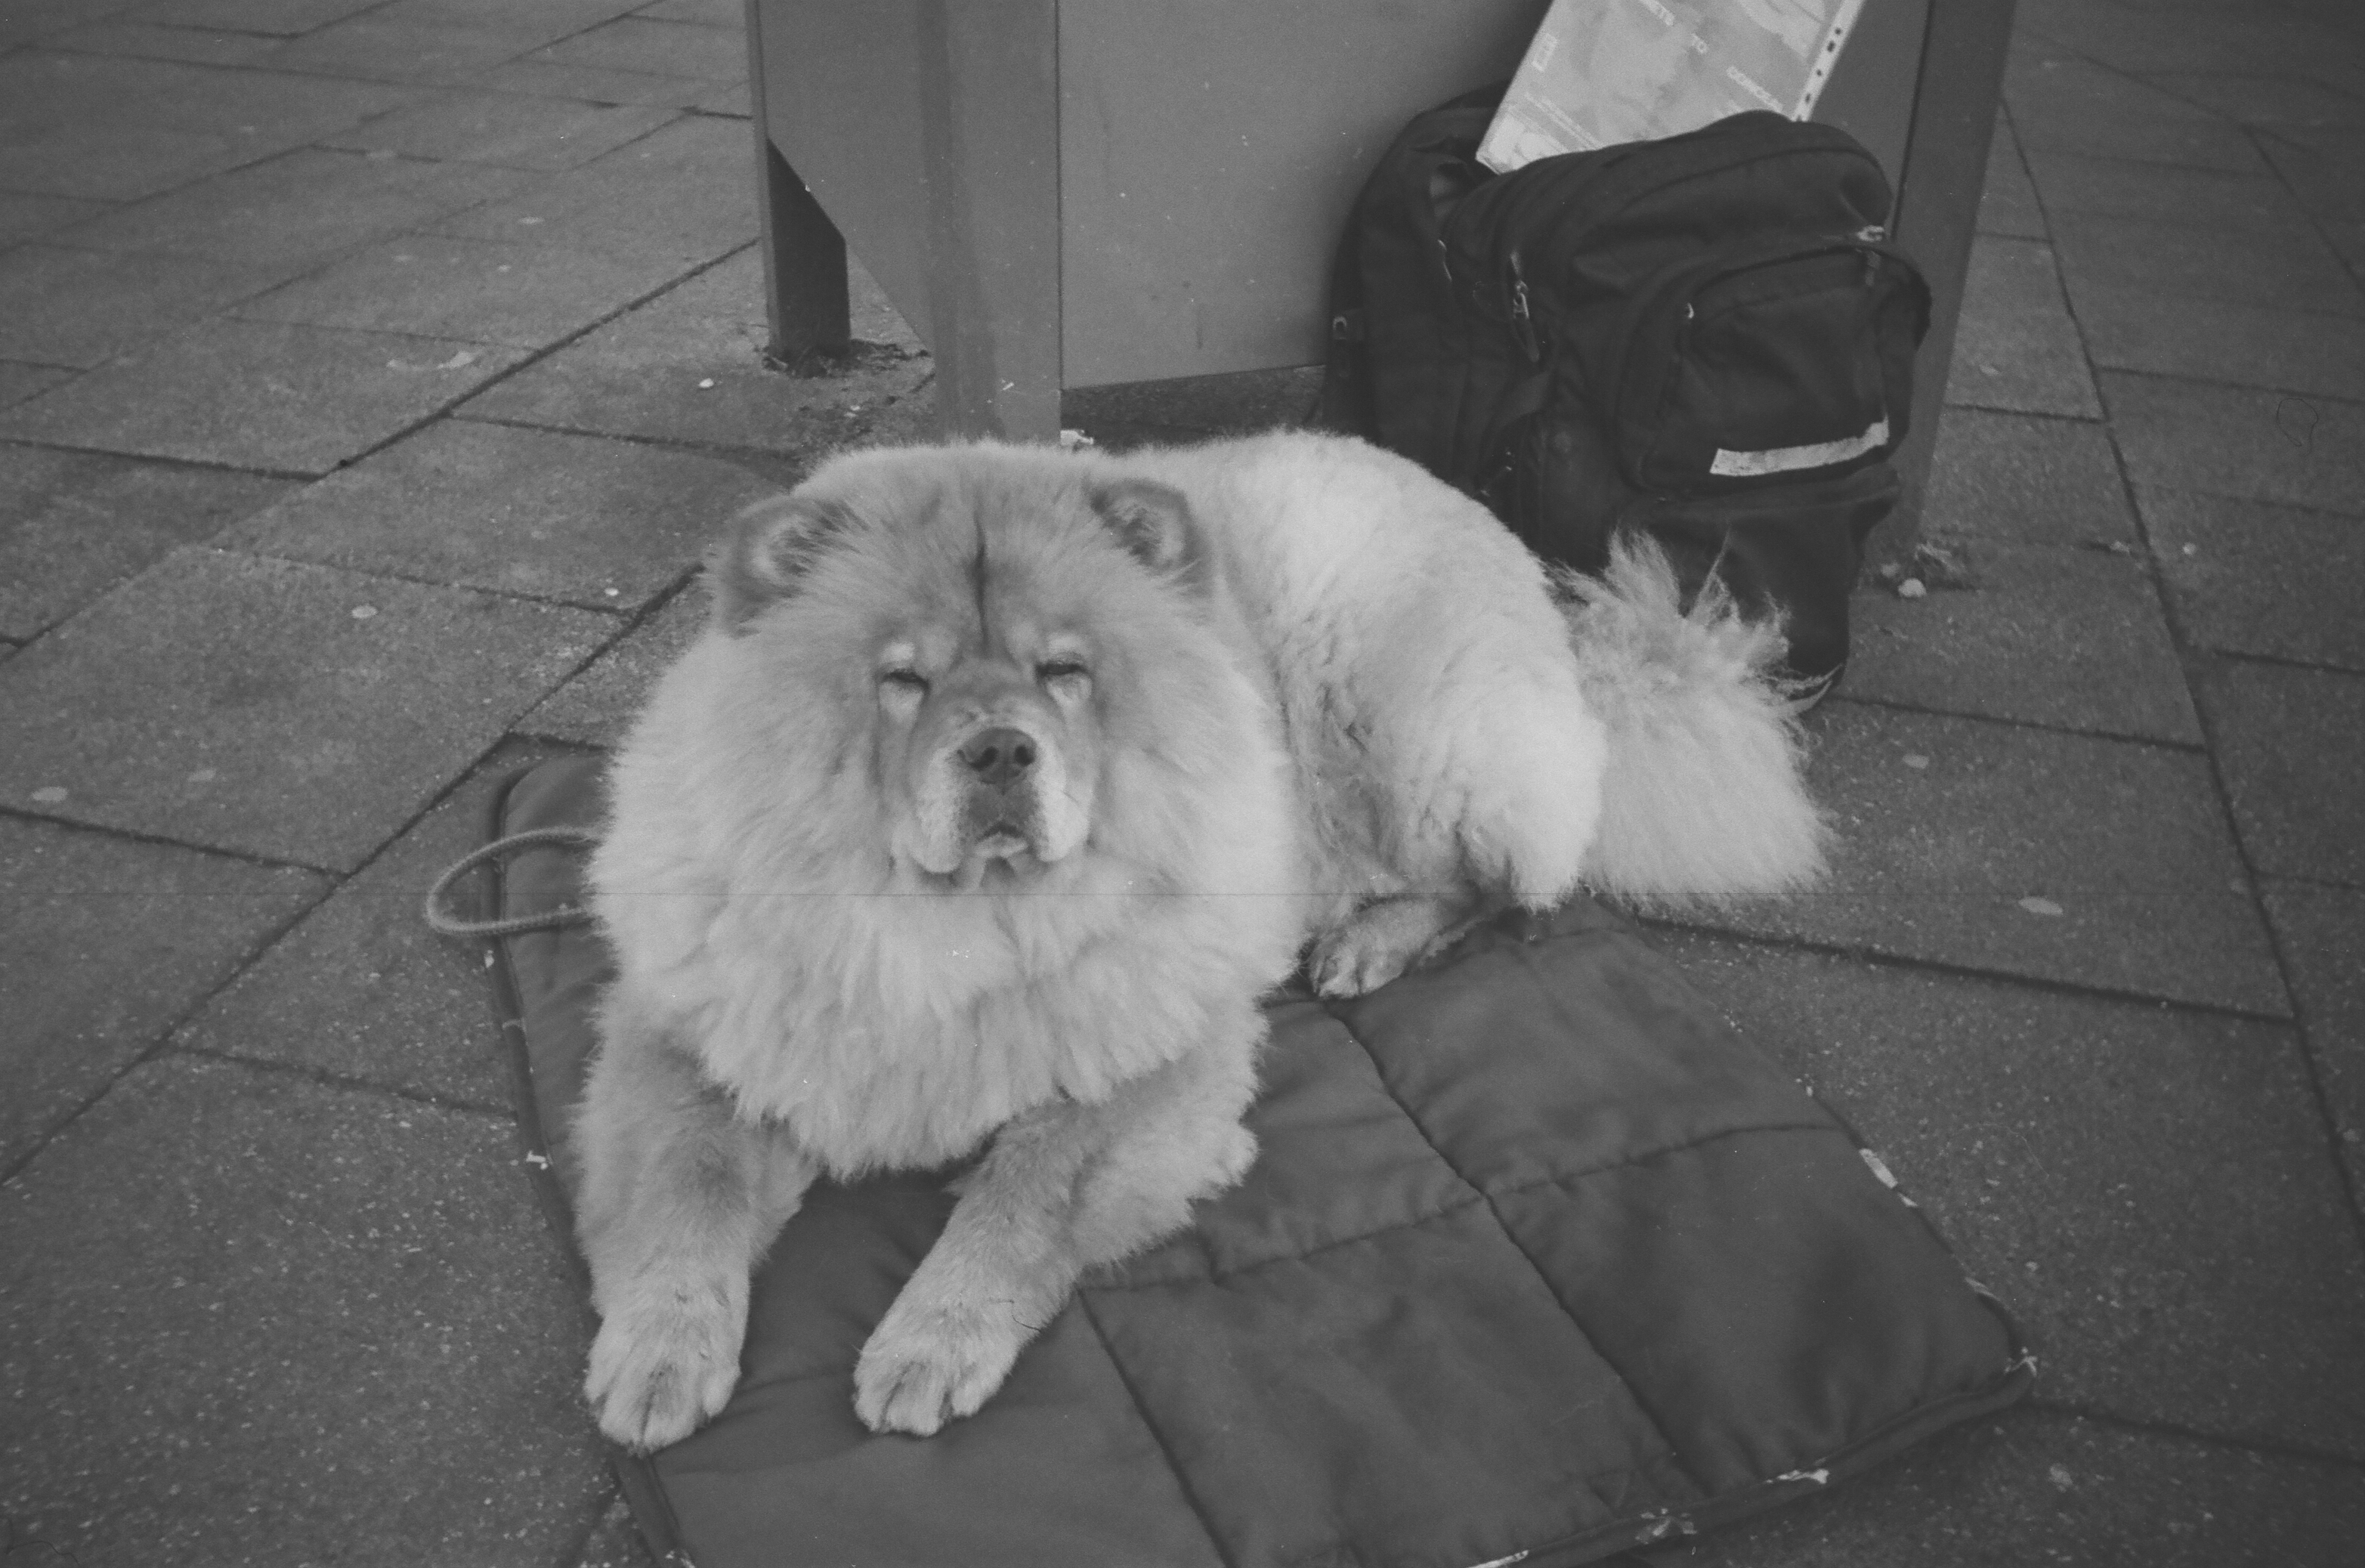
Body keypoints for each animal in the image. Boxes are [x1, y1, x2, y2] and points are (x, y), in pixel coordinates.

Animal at [571, 430, 1823, 1449]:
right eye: (902, 680)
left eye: (1065, 673)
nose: (1000, 750)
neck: (956, 926)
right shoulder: (688, 1035)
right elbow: (686, 1182)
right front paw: (658, 1354)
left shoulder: (1150, 1057)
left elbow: (1024, 1192)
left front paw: (928, 1343)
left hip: (1414, 730)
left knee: (1500, 879)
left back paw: (1368, 942)